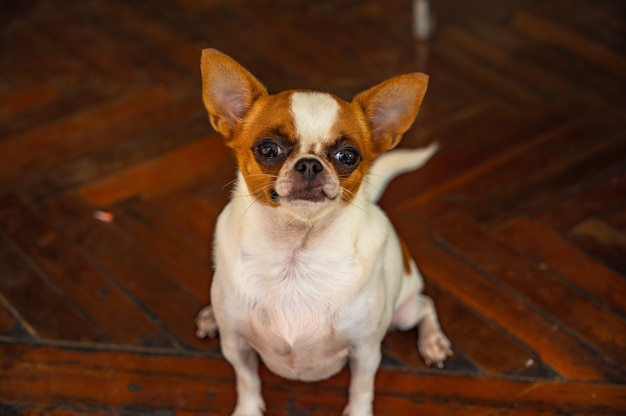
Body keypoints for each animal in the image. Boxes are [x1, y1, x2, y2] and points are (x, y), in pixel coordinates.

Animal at [195, 49, 448, 416]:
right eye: (268, 149)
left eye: (348, 156)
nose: (310, 164)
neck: (297, 253)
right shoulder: (236, 345)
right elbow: (247, 381)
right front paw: (247, 410)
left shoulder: (365, 352)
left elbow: (360, 389)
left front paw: (358, 413)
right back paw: (209, 317)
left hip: (403, 312)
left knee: (425, 305)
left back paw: (433, 342)